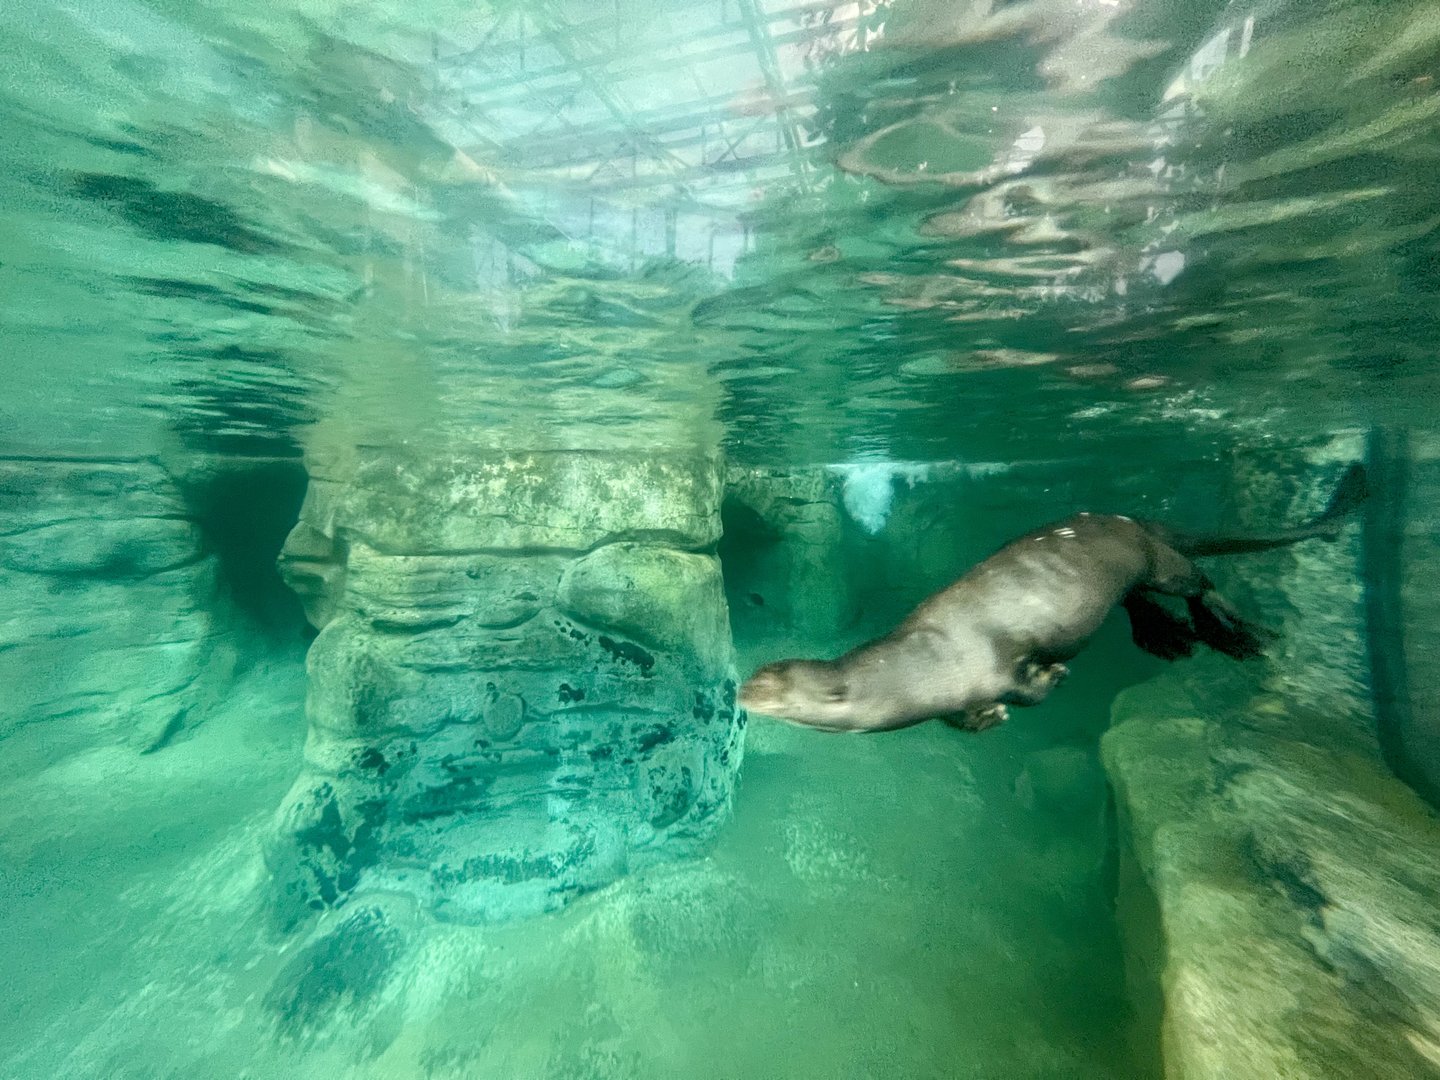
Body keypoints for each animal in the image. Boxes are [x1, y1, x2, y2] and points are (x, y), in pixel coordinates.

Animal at [739, 464, 1368, 734]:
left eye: (773, 686)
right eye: (757, 674)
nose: (741, 693)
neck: (926, 664)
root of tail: (1140, 521)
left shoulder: (996, 661)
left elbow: (1028, 685)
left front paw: (1052, 678)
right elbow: (960, 720)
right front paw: (983, 720)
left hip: (1155, 557)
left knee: (1198, 580)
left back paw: (1240, 631)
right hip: (1132, 575)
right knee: (1140, 600)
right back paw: (1170, 639)